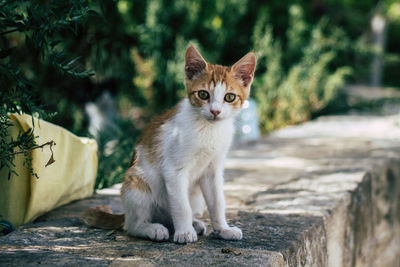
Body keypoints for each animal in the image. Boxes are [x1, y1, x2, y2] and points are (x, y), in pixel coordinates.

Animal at [82, 44, 256, 245]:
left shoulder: (213, 171)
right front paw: (185, 233)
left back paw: (192, 224)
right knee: (132, 225)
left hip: (194, 196)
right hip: (137, 182)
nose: (215, 111)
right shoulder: (173, 170)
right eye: (203, 94)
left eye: (229, 97)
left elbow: (217, 203)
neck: (208, 129)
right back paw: (152, 229)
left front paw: (223, 229)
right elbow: (181, 206)